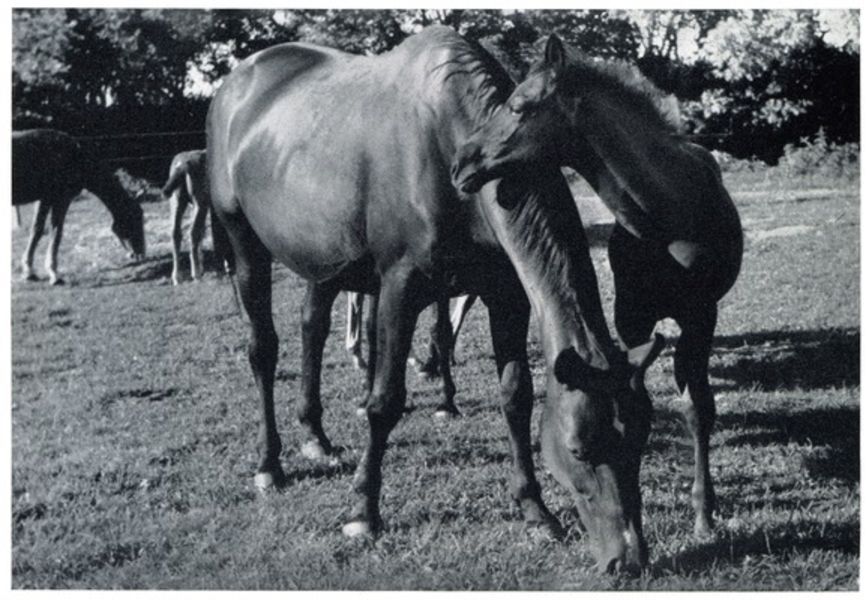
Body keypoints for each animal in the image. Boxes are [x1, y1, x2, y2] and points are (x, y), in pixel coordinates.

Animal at [12, 128, 146, 285]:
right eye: (137, 217)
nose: (140, 254)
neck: (76, 155)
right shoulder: (61, 198)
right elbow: (56, 232)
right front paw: (54, 273)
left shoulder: (44, 198)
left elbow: (37, 230)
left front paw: (29, 271)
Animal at [208, 26, 663, 573]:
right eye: (578, 449)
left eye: (640, 439)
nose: (628, 558)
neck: (446, 138)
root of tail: (236, 82)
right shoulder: (400, 287)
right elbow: (385, 402)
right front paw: (363, 512)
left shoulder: (506, 294)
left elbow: (516, 396)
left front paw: (535, 511)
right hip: (245, 246)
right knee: (264, 350)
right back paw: (268, 464)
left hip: (322, 259)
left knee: (311, 326)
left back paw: (315, 437)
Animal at [453, 35, 744, 539]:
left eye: (518, 105)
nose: (460, 163)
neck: (668, 217)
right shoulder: (632, 316)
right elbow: (640, 391)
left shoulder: (700, 314)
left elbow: (697, 408)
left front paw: (703, 515)